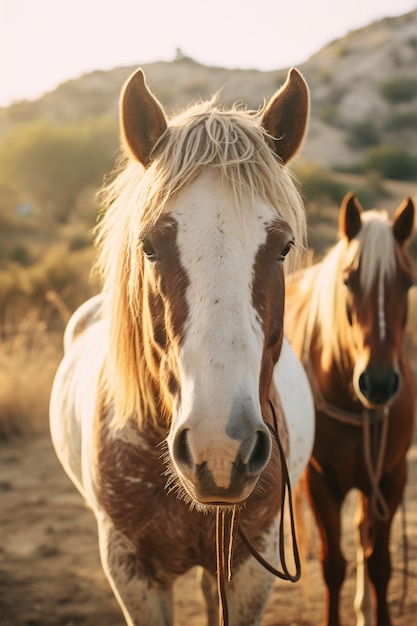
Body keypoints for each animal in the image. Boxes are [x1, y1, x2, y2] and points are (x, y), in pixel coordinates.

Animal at [284, 191, 414, 624]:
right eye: (348, 281)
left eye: (408, 281)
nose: (378, 382)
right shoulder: (321, 483)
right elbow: (333, 565)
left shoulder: (390, 479)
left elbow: (379, 563)